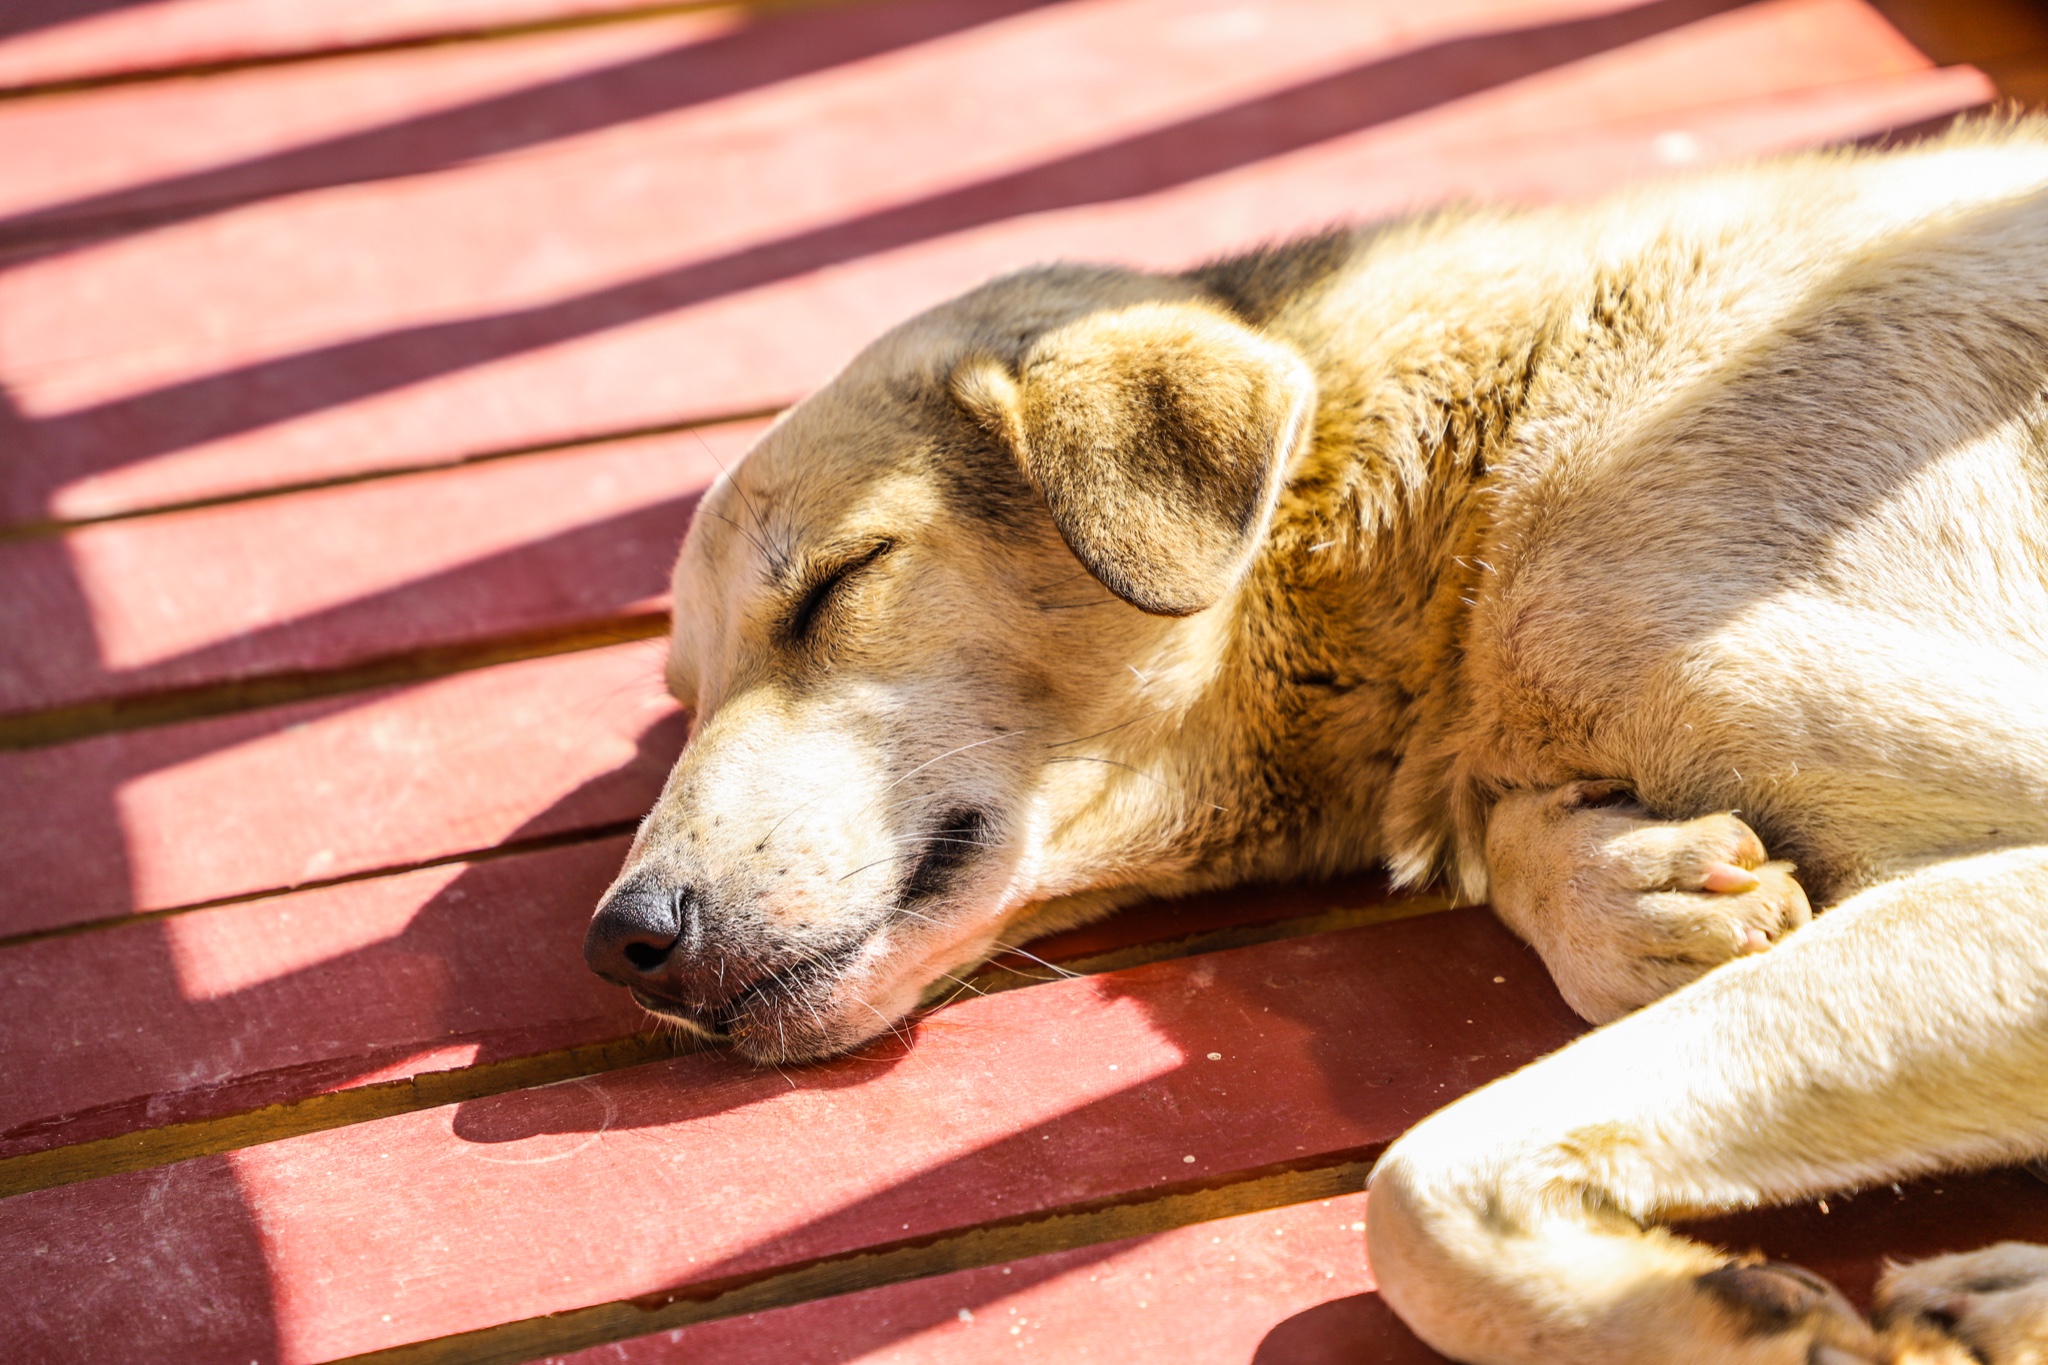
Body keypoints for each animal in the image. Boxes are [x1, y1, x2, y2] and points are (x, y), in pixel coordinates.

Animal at [581, 120, 2048, 1365]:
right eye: (687, 693)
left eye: (837, 582)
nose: (623, 942)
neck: (1476, 476)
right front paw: (1623, 889)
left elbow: (1418, 1196)